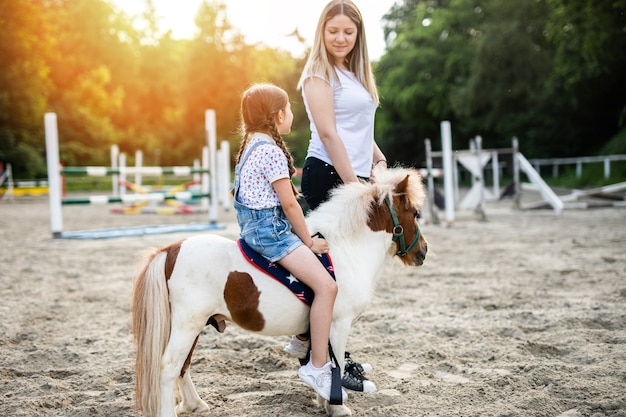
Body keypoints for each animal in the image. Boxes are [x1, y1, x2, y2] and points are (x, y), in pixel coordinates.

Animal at [130, 167, 424, 416]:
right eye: (414, 212)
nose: (423, 251)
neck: (342, 249)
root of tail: (171, 249)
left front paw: (323, 399)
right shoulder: (338, 323)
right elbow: (337, 362)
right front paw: (337, 406)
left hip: (192, 325)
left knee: (183, 366)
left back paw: (195, 404)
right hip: (187, 325)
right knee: (168, 368)